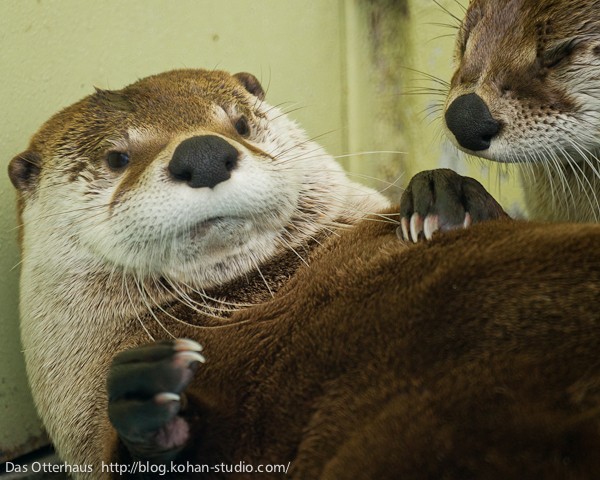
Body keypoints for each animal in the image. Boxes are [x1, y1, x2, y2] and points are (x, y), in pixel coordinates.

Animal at [8, 68, 600, 480]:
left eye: (240, 123)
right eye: (117, 157)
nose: (204, 152)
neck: (259, 295)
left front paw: (443, 194)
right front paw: (147, 393)